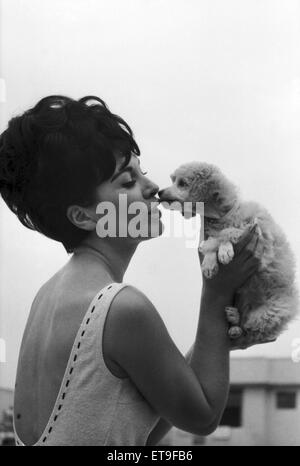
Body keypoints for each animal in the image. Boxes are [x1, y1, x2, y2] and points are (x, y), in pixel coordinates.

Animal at [158, 162, 298, 344]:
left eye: (182, 183)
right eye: (173, 180)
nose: (159, 192)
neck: (223, 214)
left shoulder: (257, 234)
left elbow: (227, 232)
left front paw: (222, 250)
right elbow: (215, 240)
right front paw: (209, 263)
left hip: (268, 315)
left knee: (252, 331)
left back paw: (238, 325)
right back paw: (235, 320)